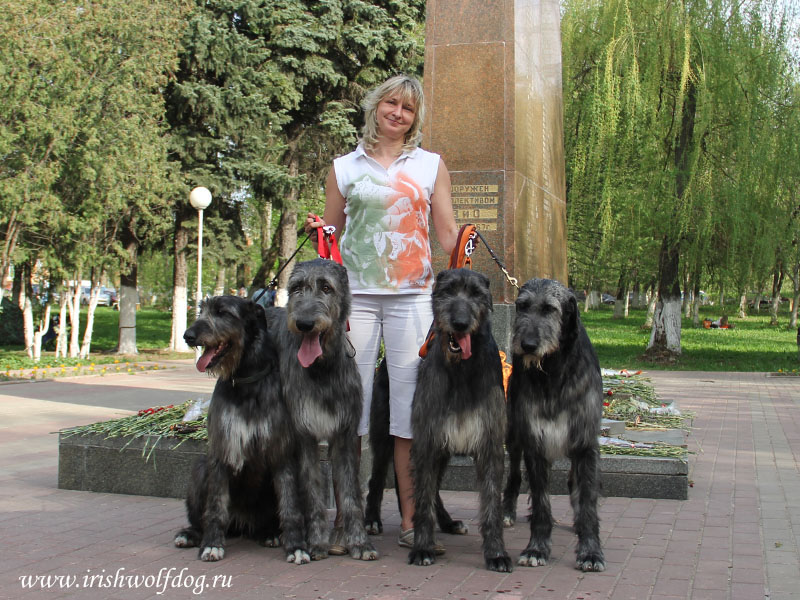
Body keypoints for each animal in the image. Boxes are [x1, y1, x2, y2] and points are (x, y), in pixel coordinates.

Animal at [176, 298, 312, 564]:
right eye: (201, 310)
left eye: (223, 313)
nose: (188, 336)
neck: (246, 382)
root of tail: (242, 522)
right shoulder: (222, 449)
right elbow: (215, 507)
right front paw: (212, 544)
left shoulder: (282, 453)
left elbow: (290, 507)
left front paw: (296, 546)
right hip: (200, 469)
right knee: (202, 515)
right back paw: (191, 534)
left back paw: (269, 533)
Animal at [266, 258, 378, 564]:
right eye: (296, 288)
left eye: (326, 288)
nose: (304, 324)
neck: (322, 368)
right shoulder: (304, 435)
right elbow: (314, 492)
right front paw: (316, 542)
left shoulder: (345, 434)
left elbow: (350, 494)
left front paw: (359, 542)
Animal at [406, 270, 512, 572]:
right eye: (448, 291)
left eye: (476, 294)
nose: (460, 323)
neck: (462, 367)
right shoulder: (427, 441)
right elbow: (422, 498)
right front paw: (422, 547)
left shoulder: (490, 444)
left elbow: (492, 503)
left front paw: (496, 553)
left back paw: (448, 523)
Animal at [500, 280, 608, 572]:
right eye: (522, 306)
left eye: (550, 309)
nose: (527, 345)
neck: (554, 370)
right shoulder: (535, 444)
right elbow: (541, 502)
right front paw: (536, 548)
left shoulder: (585, 445)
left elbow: (588, 501)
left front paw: (590, 551)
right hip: (514, 434)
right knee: (514, 476)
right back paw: (507, 512)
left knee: (574, 484)